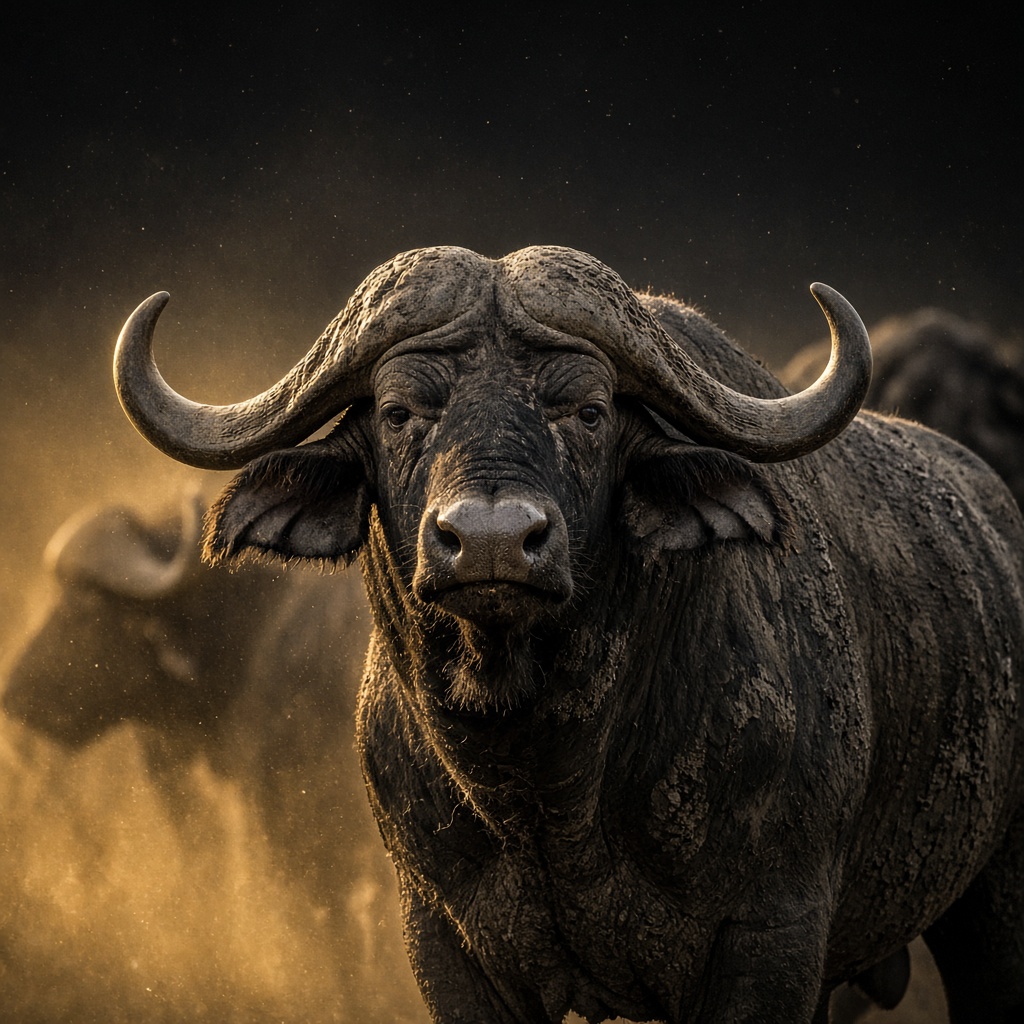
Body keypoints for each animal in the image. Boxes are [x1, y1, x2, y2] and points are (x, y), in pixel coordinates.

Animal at [112, 245, 1024, 1023]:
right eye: (400, 411)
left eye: (588, 410)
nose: (490, 541)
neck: (549, 779)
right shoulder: (442, 944)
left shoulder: (773, 936)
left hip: (993, 904)